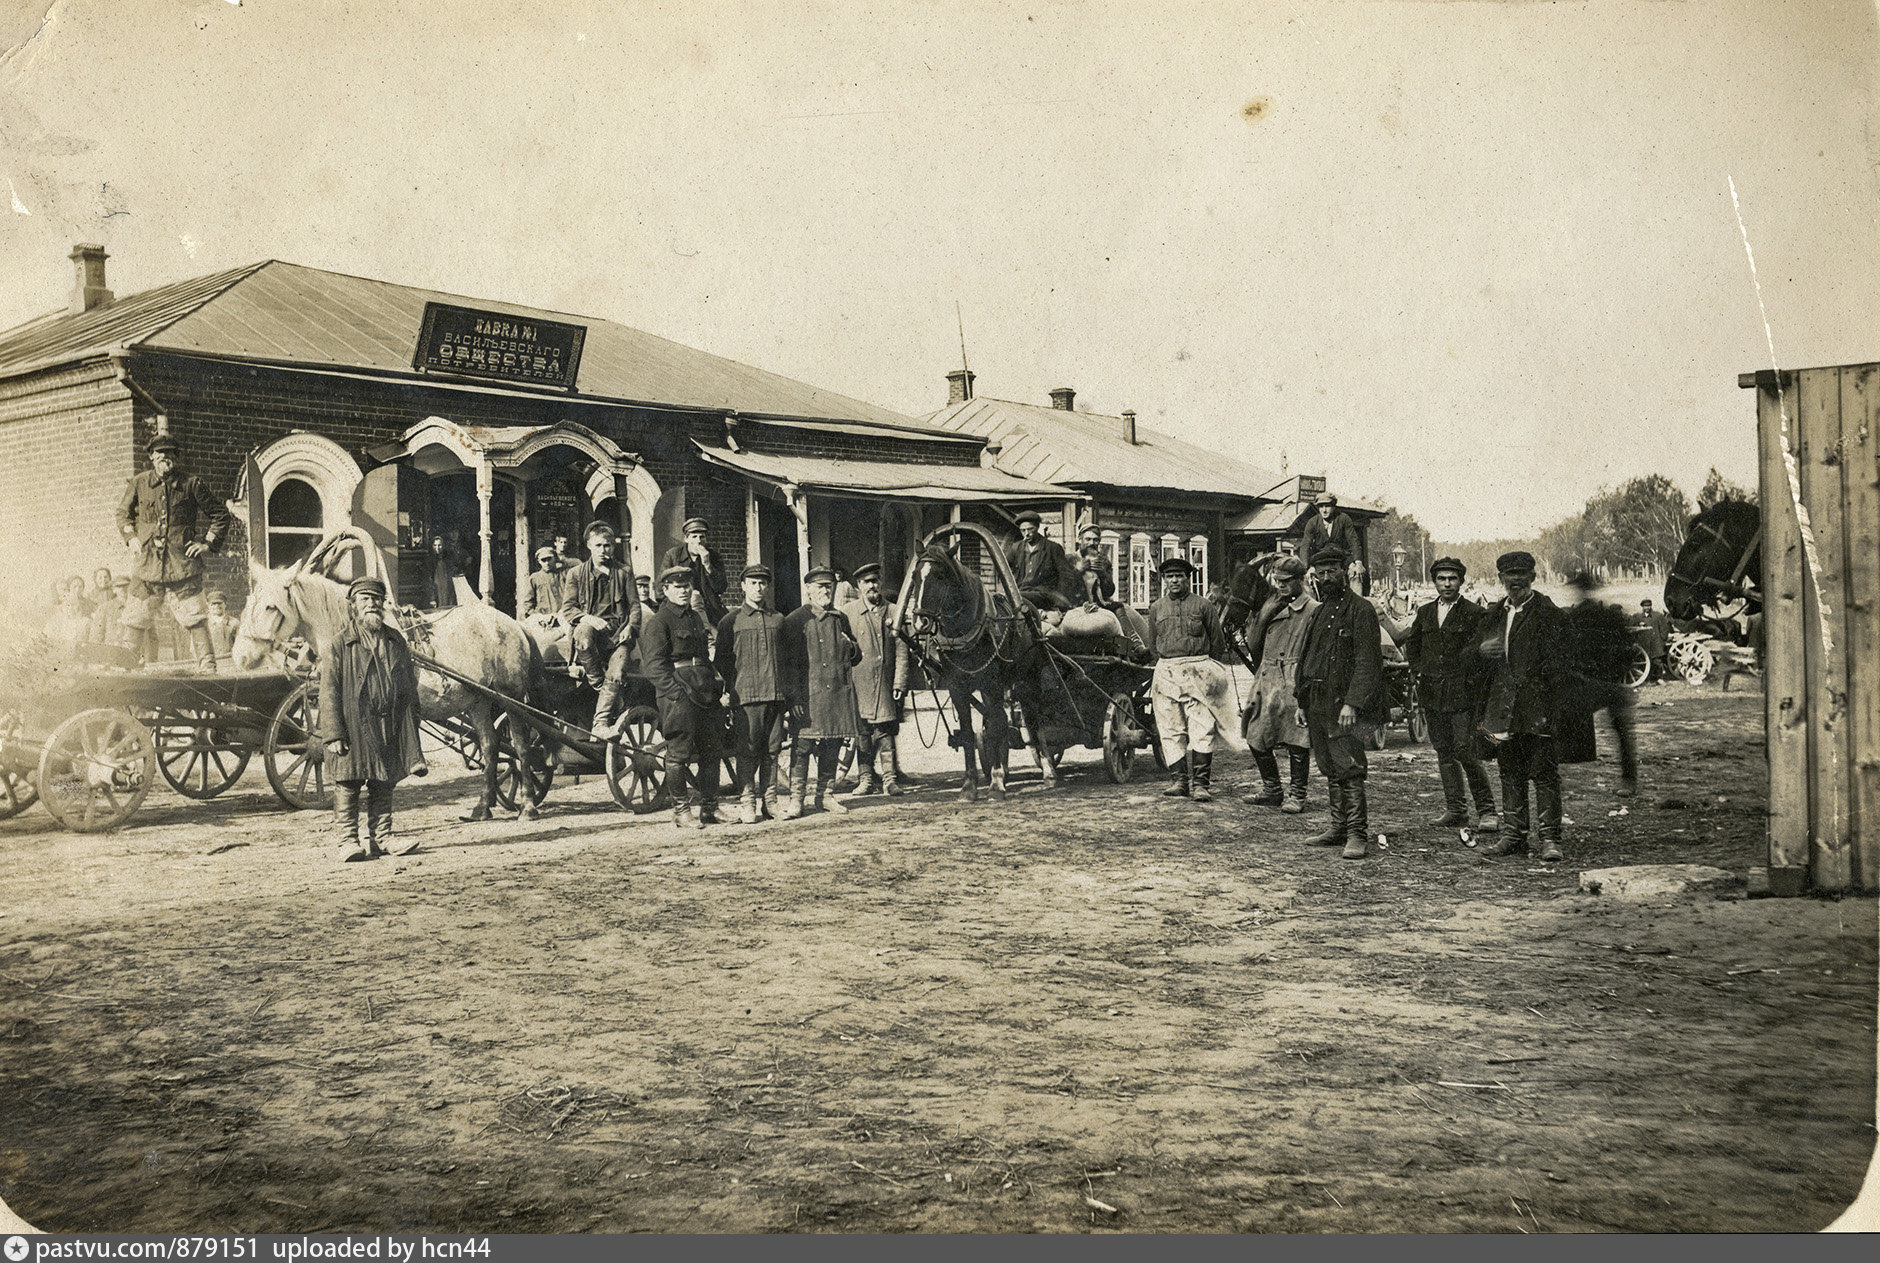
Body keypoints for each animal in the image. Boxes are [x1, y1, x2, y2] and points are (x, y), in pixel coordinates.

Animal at [233, 541, 545, 819]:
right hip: (478, 700)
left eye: (271, 607)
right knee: (491, 747)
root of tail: (514, 624)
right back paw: (483, 807)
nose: (240, 656)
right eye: (248, 603)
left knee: (520, 747)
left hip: (511, 699)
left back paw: (528, 805)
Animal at [894, 526, 1060, 804]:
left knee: (1033, 720)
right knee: (1005, 719)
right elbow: (970, 733)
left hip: (1029, 678)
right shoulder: (957, 688)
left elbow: (995, 729)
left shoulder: (991, 684)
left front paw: (996, 784)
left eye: (940, 576)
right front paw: (970, 786)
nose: (920, 623)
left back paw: (1047, 772)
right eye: (915, 575)